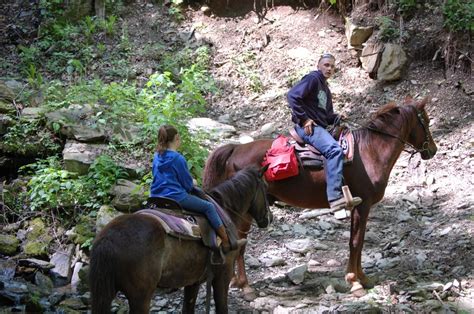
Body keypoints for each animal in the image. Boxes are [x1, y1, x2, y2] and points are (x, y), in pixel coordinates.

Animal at [89, 166, 272, 312]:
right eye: (264, 187)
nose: (268, 218)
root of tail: (108, 239)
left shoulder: (193, 281)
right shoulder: (223, 275)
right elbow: (222, 308)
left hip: (107, 292)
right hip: (140, 297)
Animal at [202, 97, 438, 298]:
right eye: (425, 121)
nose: (433, 150)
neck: (370, 150)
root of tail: (235, 149)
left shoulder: (360, 206)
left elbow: (358, 242)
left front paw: (362, 277)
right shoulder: (363, 205)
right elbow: (356, 242)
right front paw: (355, 282)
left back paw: (235, 281)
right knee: (240, 243)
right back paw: (245, 285)